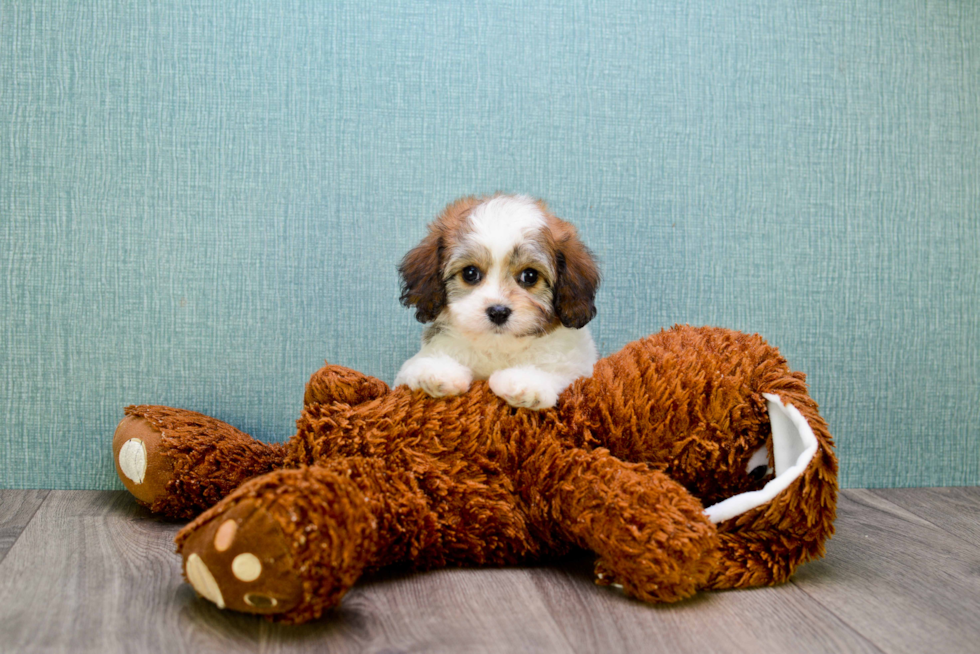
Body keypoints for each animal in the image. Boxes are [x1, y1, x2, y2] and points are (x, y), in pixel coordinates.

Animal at [396, 193, 596, 410]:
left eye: (530, 276)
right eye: (470, 273)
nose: (498, 312)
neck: (498, 347)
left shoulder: (578, 367)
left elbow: (560, 371)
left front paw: (527, 382)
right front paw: (436, 371)